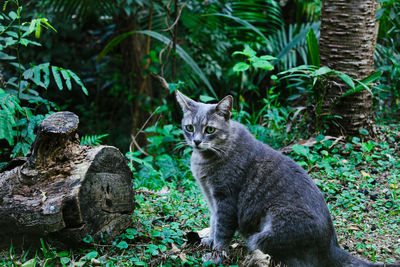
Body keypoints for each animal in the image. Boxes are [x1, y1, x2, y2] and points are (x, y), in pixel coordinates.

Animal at [177, 90, 398, 267]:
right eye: (190, 128)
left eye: (210, 129)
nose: (196, 141)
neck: (205, 159)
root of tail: (332, 246)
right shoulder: (212, 199)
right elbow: (214, 222)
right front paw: (209, 240)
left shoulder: (226, 199)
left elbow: (222, 230)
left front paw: (216, 255)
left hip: (267, 231)